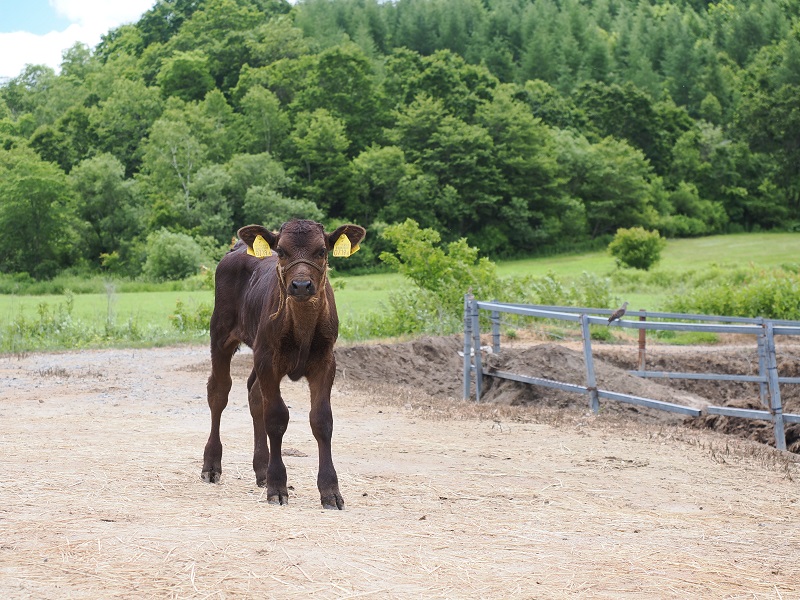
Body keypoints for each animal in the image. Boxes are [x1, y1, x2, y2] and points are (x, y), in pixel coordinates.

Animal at [200, 218, 366, 508]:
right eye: (281, 251)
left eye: (321, 251)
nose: (301, 285)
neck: (302, 325)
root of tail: (238, 247)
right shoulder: (269, 361)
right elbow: (276, 417)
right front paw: (277, 485)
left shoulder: (326, 361)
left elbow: (322, 420)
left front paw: (330, 490)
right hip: (221, 334)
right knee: (219, 392)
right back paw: (212, 464)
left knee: (254, 394)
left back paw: (261, 469)